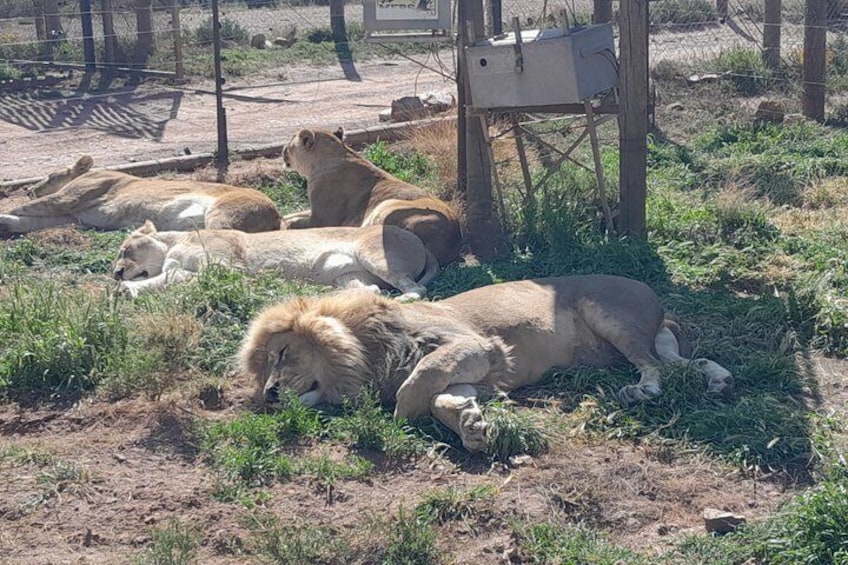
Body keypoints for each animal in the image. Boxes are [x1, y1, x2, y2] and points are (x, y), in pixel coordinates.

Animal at [0, 156, 281, 234]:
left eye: (50, 175)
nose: (28, 189)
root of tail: (277, 216)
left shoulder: (68, 199)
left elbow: (26, 207)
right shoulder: (73, 216)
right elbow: (27, 220)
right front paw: (6, 224)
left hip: (222, 213)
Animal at [239, 275, 733, 452]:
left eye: (280, 354)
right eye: (261, 374)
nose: (270, 394)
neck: (367, 352)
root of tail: (652, 295)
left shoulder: (476, 343)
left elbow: (416, 385)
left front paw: (398, 416)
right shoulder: (473, 372)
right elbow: (441, 398)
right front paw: (471, 425)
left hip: (611, 317)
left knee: (658, 367)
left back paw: (642, 389)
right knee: (685, 363)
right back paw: (719, 379)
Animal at [281, 128, 463, 266]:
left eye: (290, 141)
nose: (282, 148)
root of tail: (453, 238)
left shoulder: (321, 219)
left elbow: (294, 223)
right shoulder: (313, 212)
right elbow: (292, 215)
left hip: (387, 207)